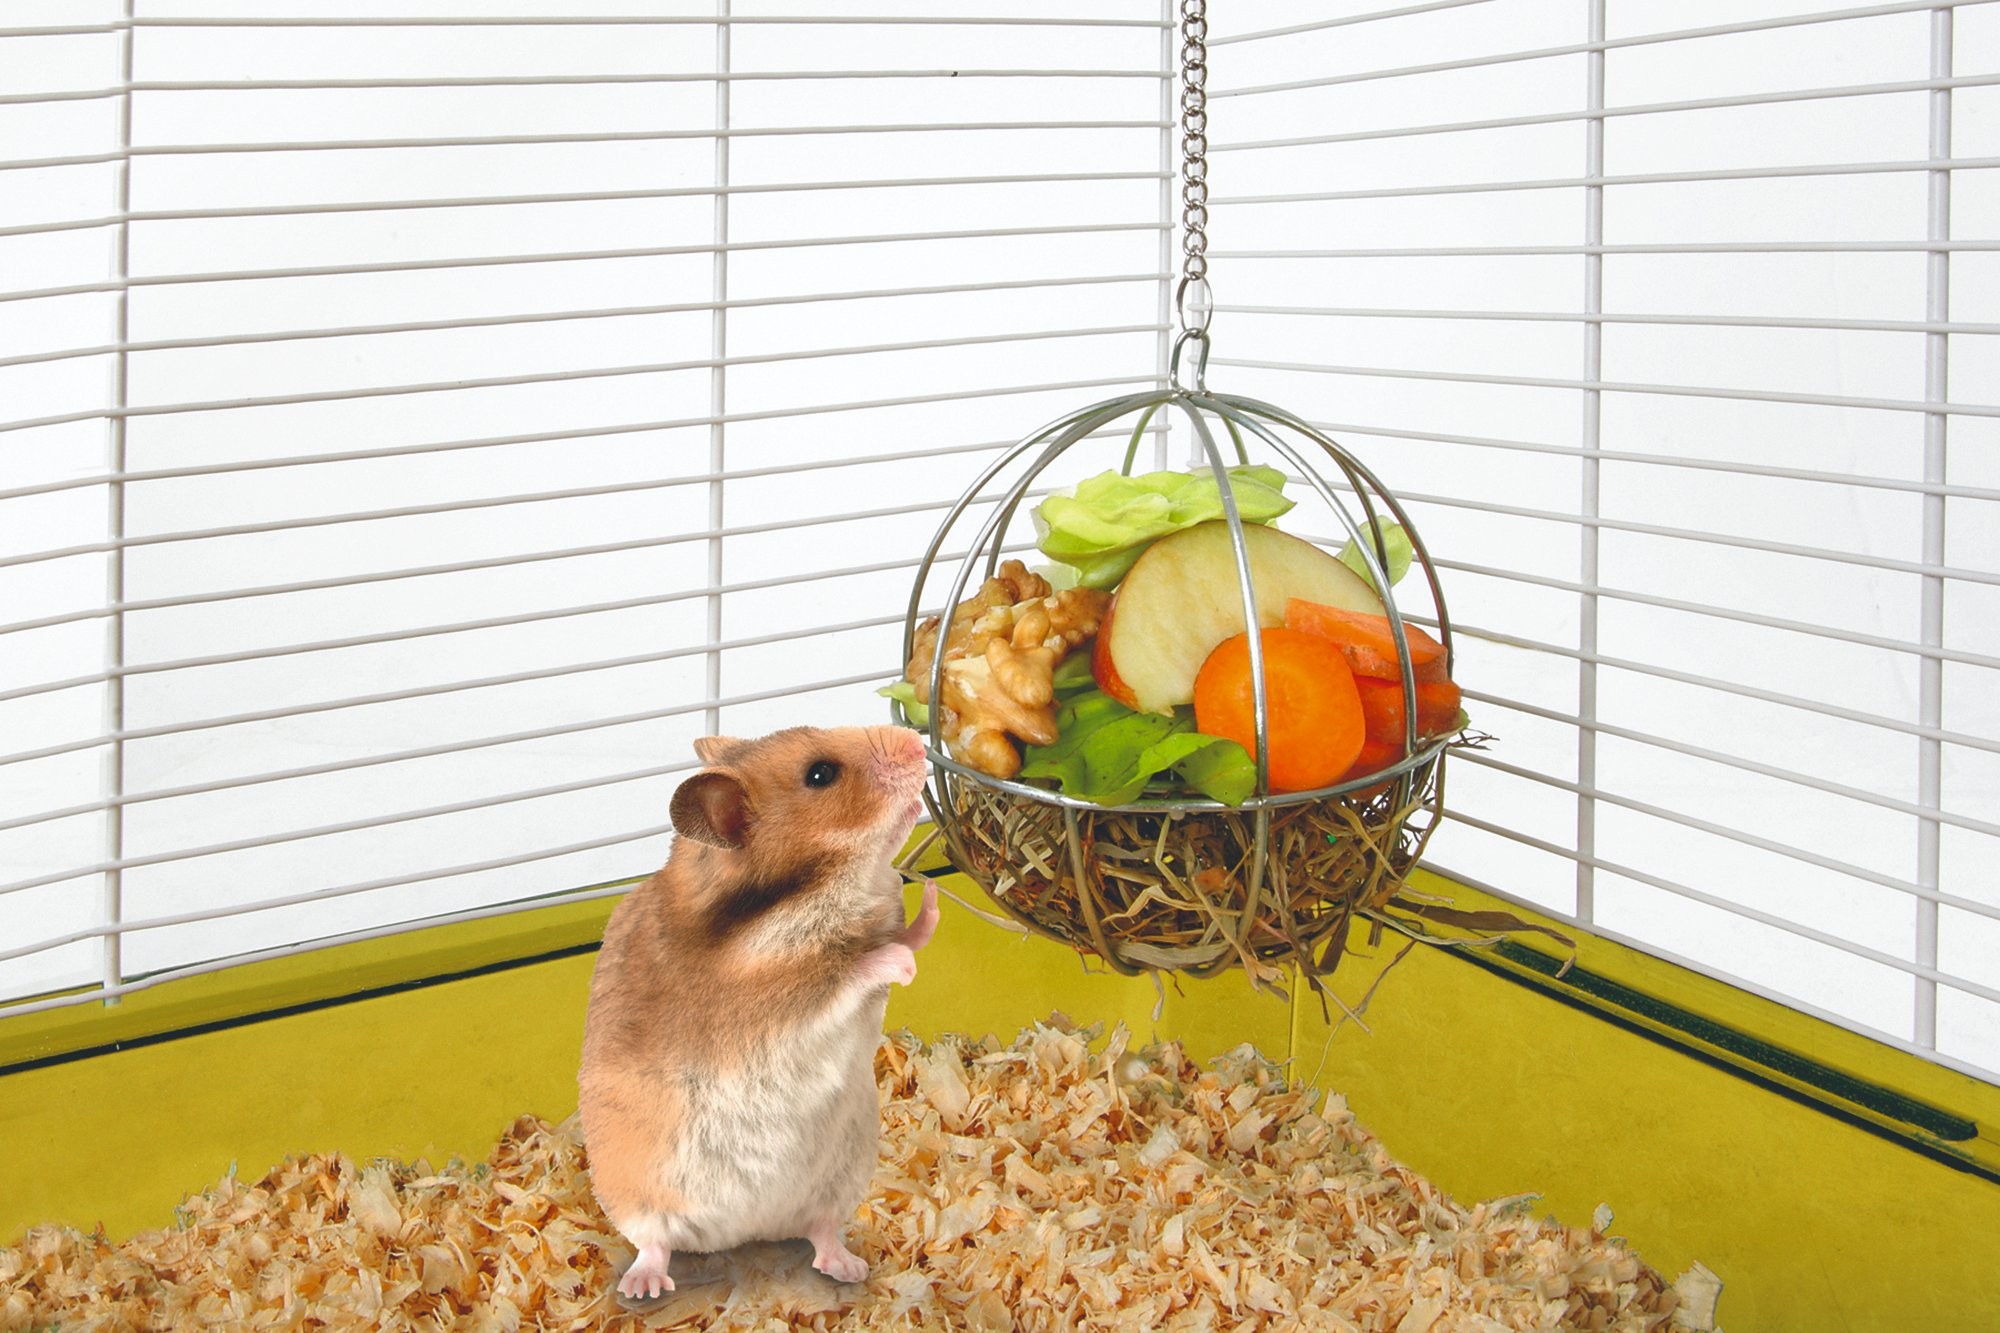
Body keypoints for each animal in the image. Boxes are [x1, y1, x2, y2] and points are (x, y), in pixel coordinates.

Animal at [577, 725, 938, 1302]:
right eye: (820, 774)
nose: (916, 741)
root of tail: (742, 1234)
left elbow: (908, 933)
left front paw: (930, 894)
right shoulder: (781, 1000)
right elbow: (856, 967)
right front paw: (903, 966)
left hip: (840, 1177)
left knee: (820, 1231)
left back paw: (850, 1268)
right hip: (633, 1192)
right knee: (654, 1242)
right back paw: (643, 1287)